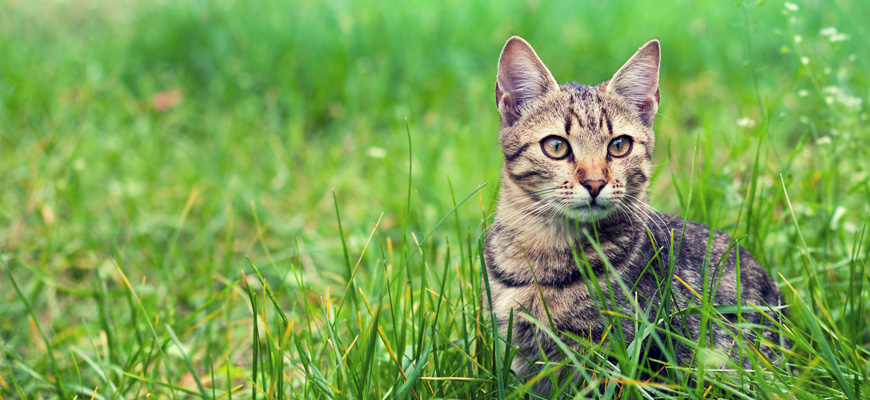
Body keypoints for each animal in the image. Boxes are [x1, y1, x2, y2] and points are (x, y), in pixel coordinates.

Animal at [488, 36, 788, 396]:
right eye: (556, 146)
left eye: (619, 145)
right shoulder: (521, 351)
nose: (594, 183)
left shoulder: (618, 353)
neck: (546, 248)